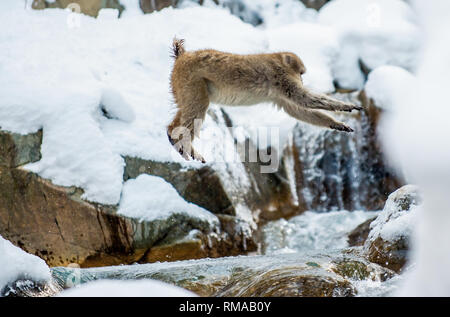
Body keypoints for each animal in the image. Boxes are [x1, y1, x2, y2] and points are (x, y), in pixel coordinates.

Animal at [168, 39, 362, 163]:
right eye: (300, 73)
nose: (302, 80)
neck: (278, 60)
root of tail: (183, 57)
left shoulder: (279, 92)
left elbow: (296, 110)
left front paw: (337, 124)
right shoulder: (282, 78)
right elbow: (302, 98)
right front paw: (346, 106)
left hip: (181, 85)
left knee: (185, 112)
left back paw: (175, 139)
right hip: (191, 80)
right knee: (197, 109)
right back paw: (181, 141)